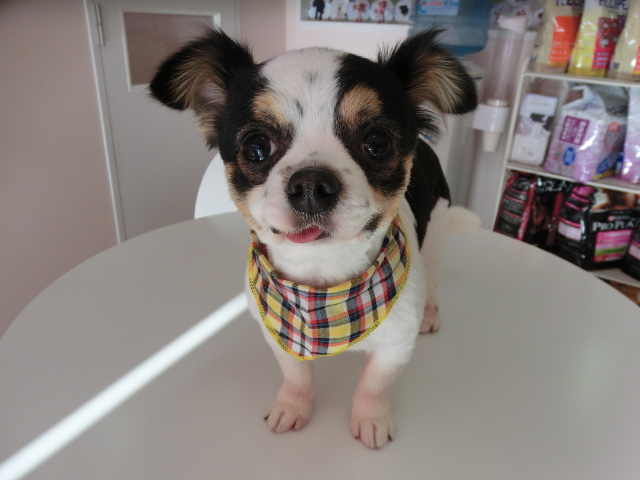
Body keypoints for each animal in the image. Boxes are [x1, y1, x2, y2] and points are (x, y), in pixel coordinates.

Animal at [150, 28, 477, 449]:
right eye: (257, 146)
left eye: (377, 143)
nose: (310, 184)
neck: (323, 286)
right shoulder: (279, 334)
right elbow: (297, 375)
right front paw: (293, 406)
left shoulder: (396, 344)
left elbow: (372, 385)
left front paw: (371, 419)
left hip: (435, 232)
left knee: (434, 279)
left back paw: (432, 314)